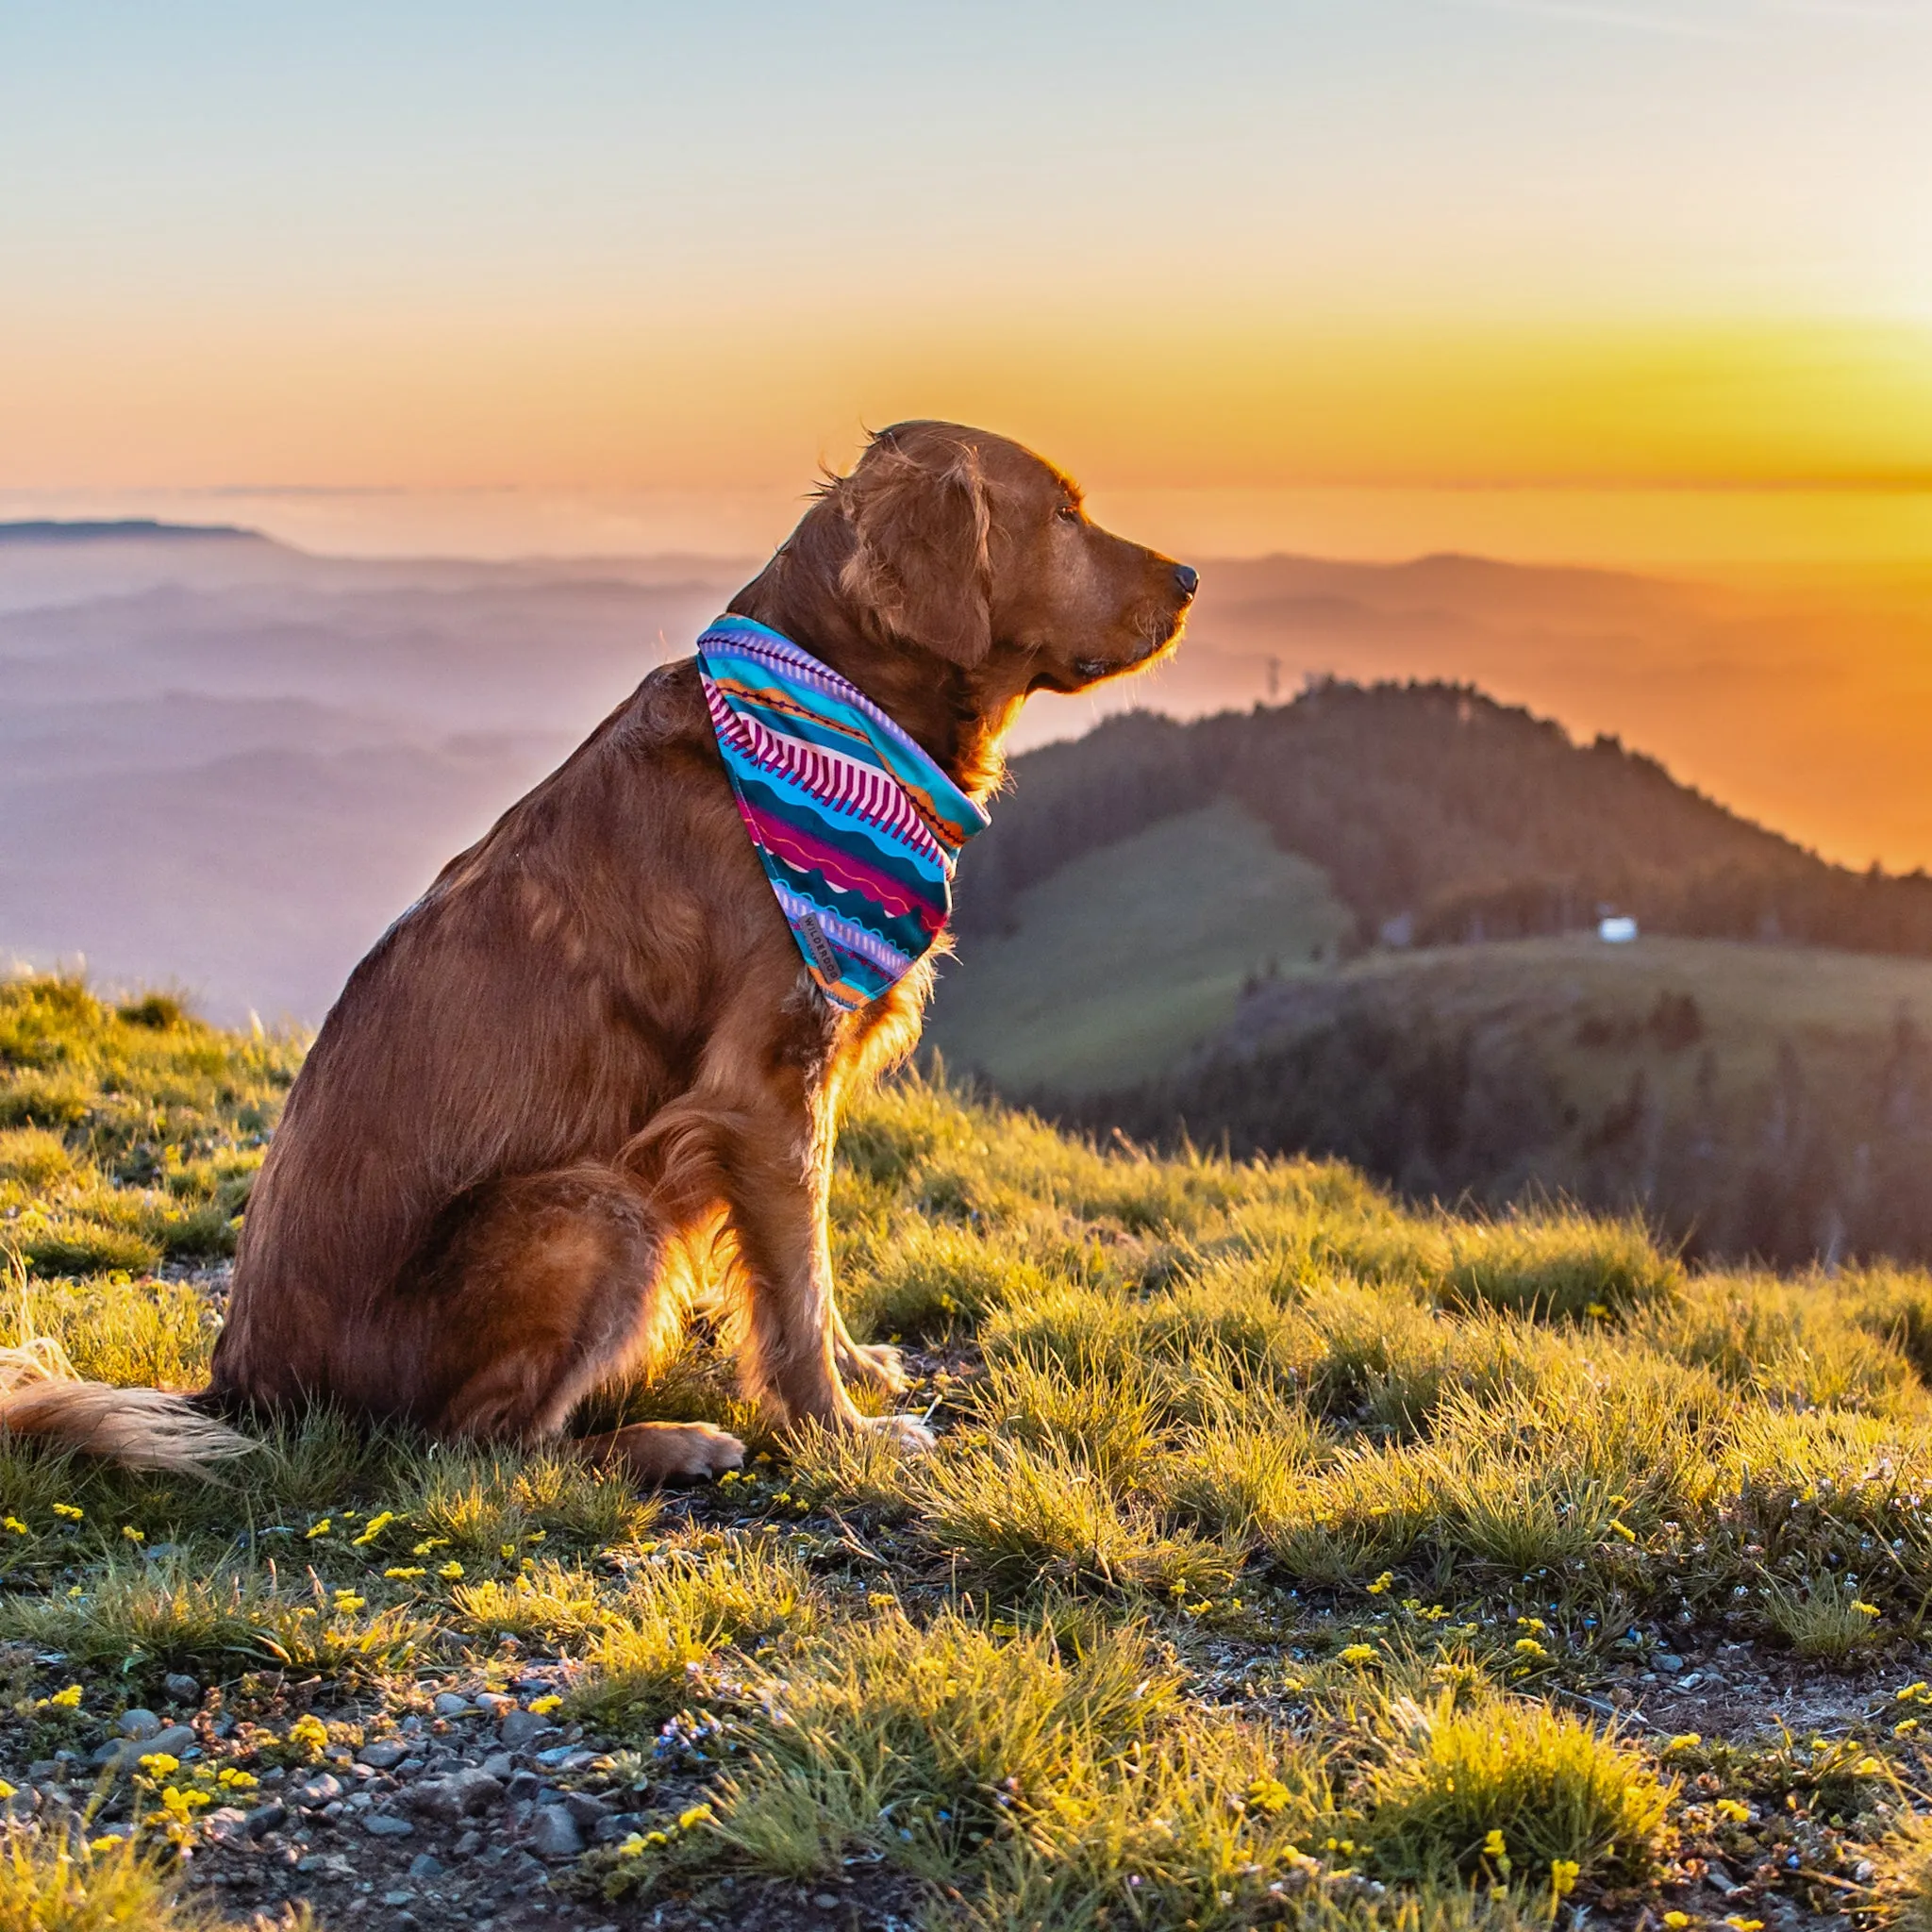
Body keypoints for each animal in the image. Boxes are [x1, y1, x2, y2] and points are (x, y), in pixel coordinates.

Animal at [0, 423, 1190, 1475]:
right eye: (1065, 514)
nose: (1186, 576)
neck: (830, 707)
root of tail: (244, 1384)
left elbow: (813, 1267)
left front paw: (860, 1370)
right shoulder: (761, 1088)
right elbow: (794, 1290)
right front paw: (839, 1433)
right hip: (598, 1206)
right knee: (482, 1449)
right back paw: (669, 1443)